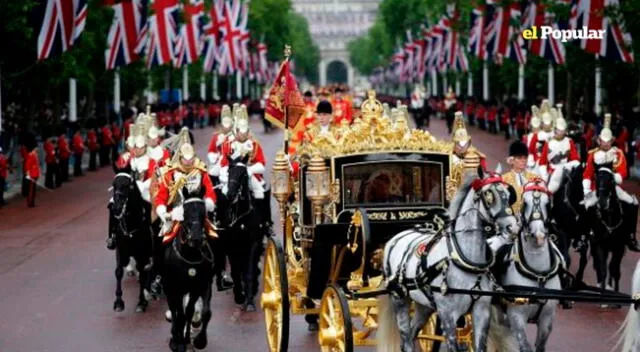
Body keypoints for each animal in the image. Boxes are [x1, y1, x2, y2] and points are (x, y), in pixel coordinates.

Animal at [110, 171, 154, 314]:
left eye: (127, 186)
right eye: (114, 185)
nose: (117, 208)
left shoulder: (142, 254)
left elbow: (143, 274)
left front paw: (141, 302)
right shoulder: (121, 250)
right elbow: (118, 271)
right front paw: (118, 302)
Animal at [162, 186, 215, 350]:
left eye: (204, 212)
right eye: (185, 212)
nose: (196, 238)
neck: (190, 256)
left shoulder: (201, 285)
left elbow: (203, 312)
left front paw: (199, 341)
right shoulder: (177, 288)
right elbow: (180, 313)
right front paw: (178, 341)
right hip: (169, 287)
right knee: (174, 309)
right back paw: (175, 336)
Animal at [222, 157, 262, 310]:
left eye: (243, 174)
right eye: (229, 171)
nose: (230, 195)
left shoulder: (253, 243)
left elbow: (249, 271)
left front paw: (249, 301)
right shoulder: (232, 246)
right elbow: (235, 271)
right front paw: (239, 295)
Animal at [378, 172, 524, 352]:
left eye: (509, 195)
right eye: (488, 195)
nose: (513, 227)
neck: (464, 261)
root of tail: (396, 238)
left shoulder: (482, 312)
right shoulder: (448, 315)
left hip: (424, 306)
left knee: (411, 336)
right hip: (399, 299)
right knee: (406, 339)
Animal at [488, 180, 564, 352]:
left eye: (547, 203)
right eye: (525, 203)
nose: (539, 235)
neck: (538, 275)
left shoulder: (547, 320)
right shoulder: (516, 318)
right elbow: (524, 346)